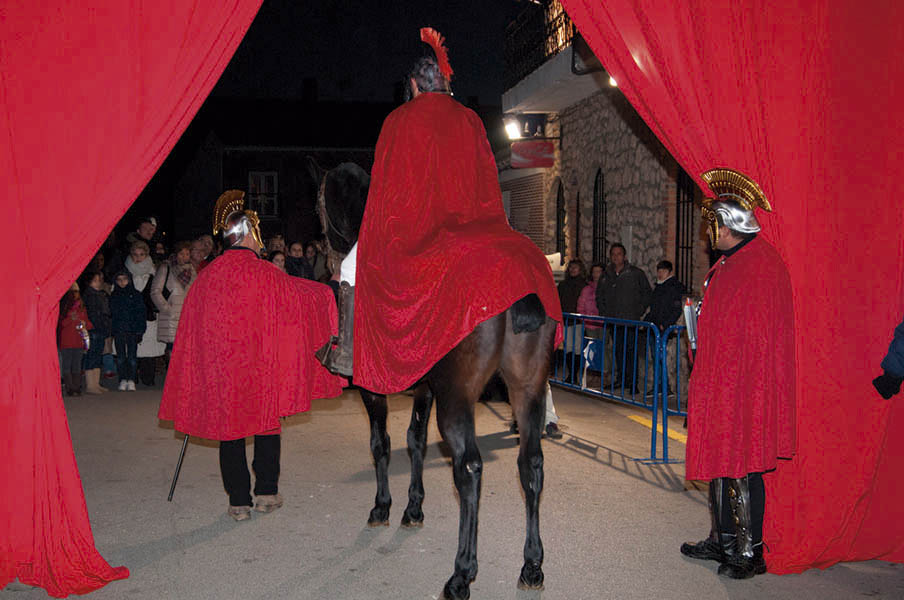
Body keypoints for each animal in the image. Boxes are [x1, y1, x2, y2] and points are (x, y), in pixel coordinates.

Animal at [313, 161, 557, 600]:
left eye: (319, 204)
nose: (325, 251)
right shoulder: (425, 387)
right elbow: (415, 441)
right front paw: (413, 507)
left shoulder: (375, 388)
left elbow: (381, 443)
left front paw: (383, 505)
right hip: (527, 389)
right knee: (531, 464)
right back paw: (532, 565)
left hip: (458, 399)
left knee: (470, 469)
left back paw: (461, 573)